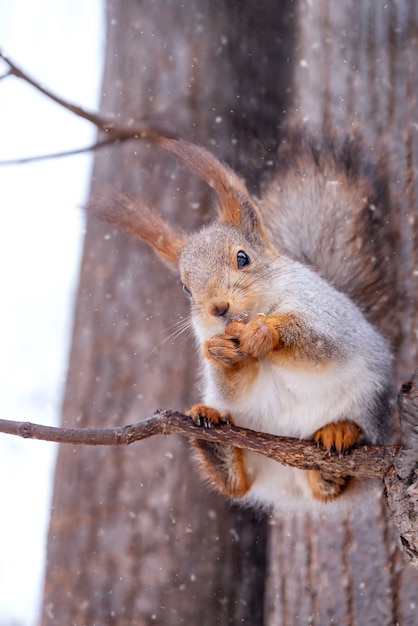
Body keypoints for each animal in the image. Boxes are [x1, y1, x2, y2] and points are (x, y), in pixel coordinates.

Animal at [90, 129, 396, 510]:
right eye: (186, 288)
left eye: (242, 257)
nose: (218, 308)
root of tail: (288, 489)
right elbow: (231, 385)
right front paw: (221, 352)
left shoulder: (327, 317)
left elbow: (320, 346)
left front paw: (267, 331)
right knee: (239, 485)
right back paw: (213, 437)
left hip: (369, 400)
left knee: (335, 480)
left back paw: (338, 435)